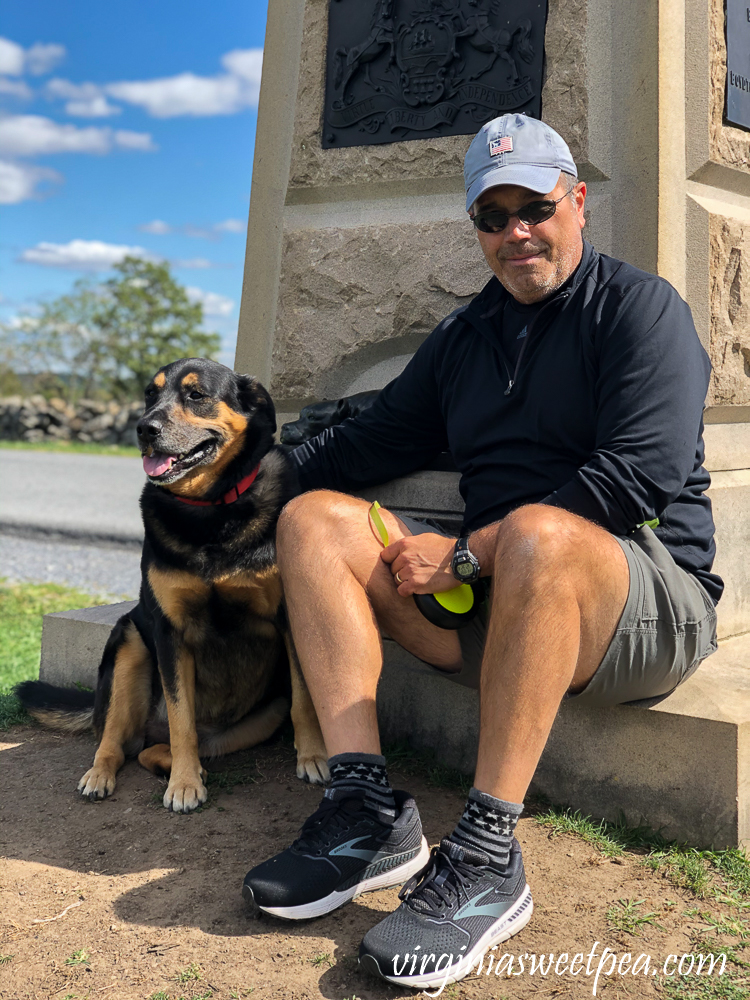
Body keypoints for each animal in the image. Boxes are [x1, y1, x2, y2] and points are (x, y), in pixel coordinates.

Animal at [16, 360, 328, 812]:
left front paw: (314, 757)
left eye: (196, 395)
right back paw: (104, 774)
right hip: (129, 646)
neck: (210, 509)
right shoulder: (169, 633)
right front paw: (183, 784)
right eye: (150, 393)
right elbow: (182, 721)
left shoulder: (289, 617)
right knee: (117, 743)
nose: (144, 428)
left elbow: (305, 700)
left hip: (257, 720)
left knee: (159, 749)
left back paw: (189, 765)